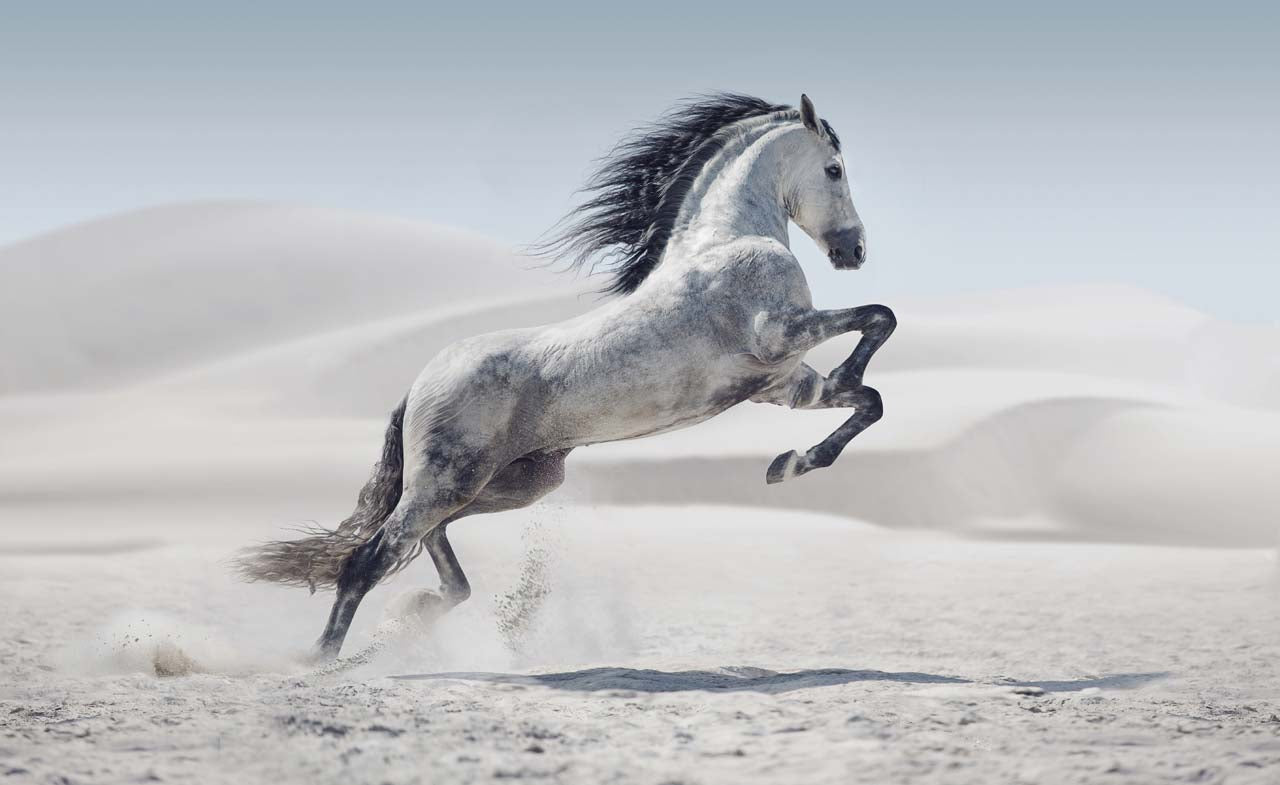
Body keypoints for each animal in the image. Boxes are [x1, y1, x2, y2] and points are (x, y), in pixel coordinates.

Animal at [234, 93, 897, 661]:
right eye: (834, 169)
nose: (855, 252)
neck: (727, 241)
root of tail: (419, 383)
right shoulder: (778, 334)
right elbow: (879, 318)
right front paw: (810, 431)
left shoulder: (783, 385)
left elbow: (869, 400)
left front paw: (790, 464)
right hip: (450, 480)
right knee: (370, 557)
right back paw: (320, 661)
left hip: (509, 484)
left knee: (429, 545)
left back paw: (416, 613)